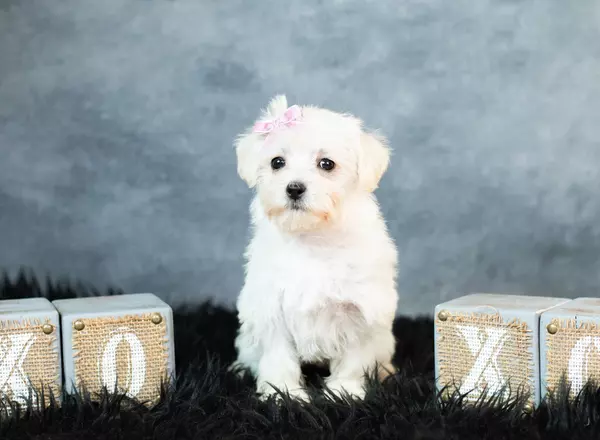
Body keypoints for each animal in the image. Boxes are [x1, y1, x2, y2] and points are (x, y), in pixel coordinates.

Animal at [230, 94, 398, 400]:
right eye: (277, 162)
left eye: (326, 164)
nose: (294, 188)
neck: (312, 237)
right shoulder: (270, 306)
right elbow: (278, 355)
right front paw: (283, 393)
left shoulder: (359, 309)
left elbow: (354, 356)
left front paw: (345, 390)